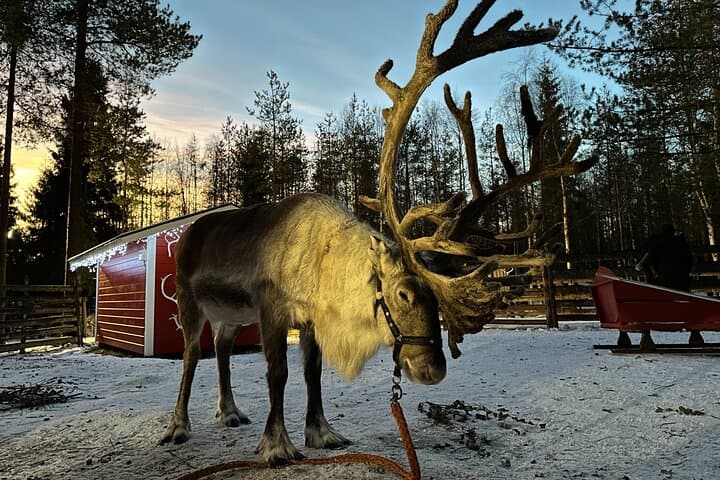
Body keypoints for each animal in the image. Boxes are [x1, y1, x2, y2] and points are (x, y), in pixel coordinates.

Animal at [161, 0, 595, 467]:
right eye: (403, 293)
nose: (433, 370)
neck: (325, 275)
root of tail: (190, 231)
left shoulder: (310, 320)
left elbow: (313, 373)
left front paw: (322, 433)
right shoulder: (271, 309)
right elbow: (278, 372)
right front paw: (277, 445)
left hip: (229, 314)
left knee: (221, 349)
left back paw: (229, 411)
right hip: (189, 299)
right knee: (191, 354)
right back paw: (178, 426)